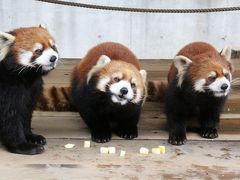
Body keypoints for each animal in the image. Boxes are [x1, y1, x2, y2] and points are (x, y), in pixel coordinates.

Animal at [0, 25, 58, 155]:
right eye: (38, 51)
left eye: (53, 46)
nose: (53, 58)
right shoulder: (6, 88)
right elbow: (10, 118)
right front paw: (23, 146)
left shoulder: (33, 89)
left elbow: (26, 112)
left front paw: (31, 136)